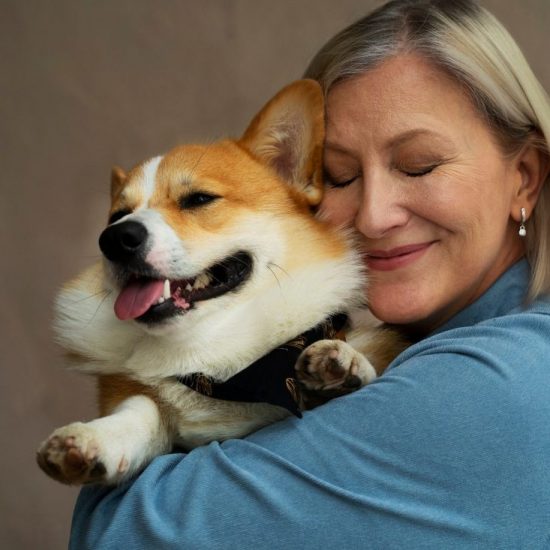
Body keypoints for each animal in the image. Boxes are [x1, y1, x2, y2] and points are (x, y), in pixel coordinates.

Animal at [34, 80, 406, 486]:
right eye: (117, 216)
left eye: (198, 199)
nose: (115, 239)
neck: (217, 357)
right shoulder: (138, 398)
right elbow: (141, 408)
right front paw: (94, 439)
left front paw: (344, 364)